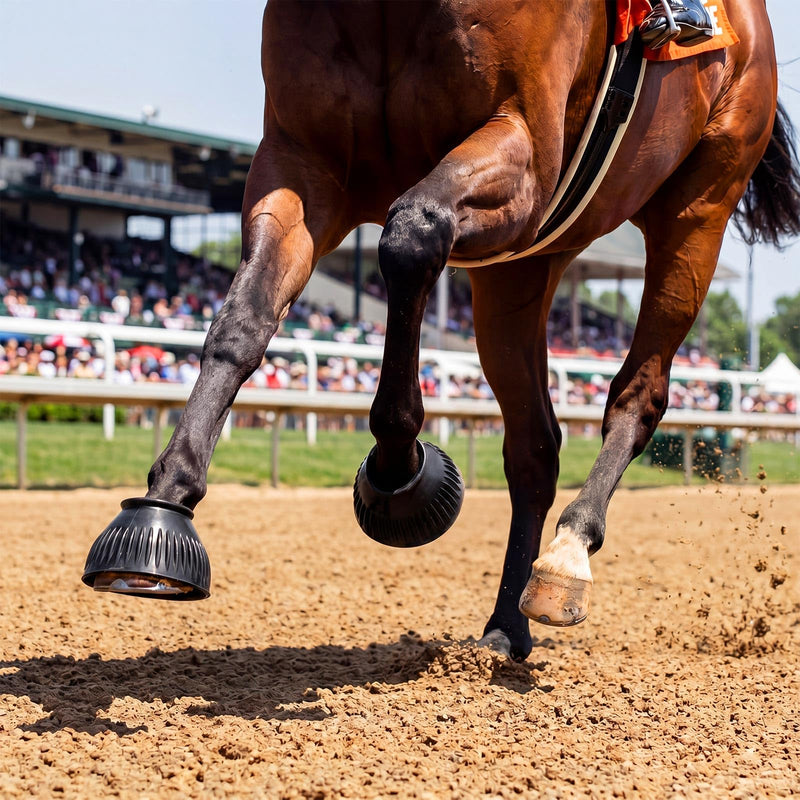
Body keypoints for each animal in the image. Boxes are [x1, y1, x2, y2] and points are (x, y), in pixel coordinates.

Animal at [85, 0, 800, 661]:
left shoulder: (523, 154)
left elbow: (412, 231)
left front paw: (399, 467)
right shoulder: (304, 161)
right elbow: (243, 317)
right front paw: (164, 506)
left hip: (697, 210)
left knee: (640, 391)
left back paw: (568, 554)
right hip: (520, 272)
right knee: (535, 446)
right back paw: (506, 625)